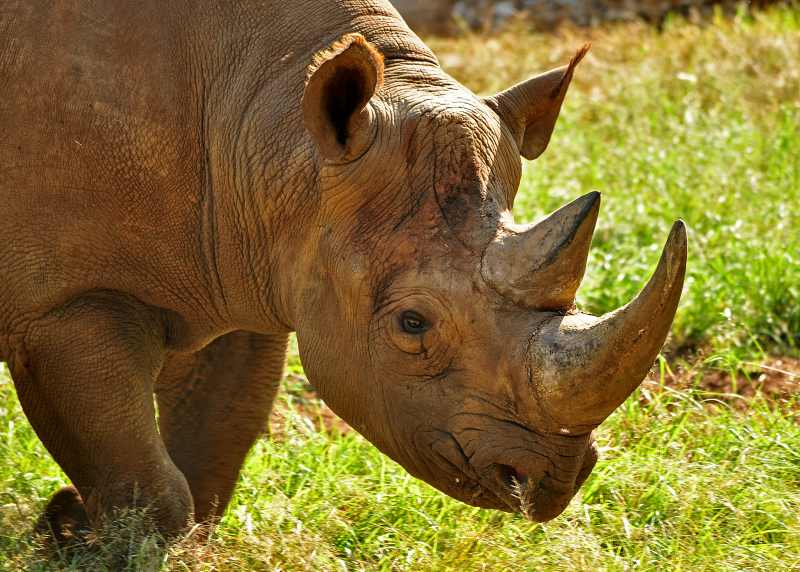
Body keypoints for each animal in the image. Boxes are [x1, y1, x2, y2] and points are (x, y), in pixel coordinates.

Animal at [0, 0, 686, 541]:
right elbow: (146, 480)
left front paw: (77, 529)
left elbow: (214, 441)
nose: (552, 481)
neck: (277, 127)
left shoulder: (244, 266)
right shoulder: (62, 303)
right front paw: (97, 540)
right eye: (412, 324)